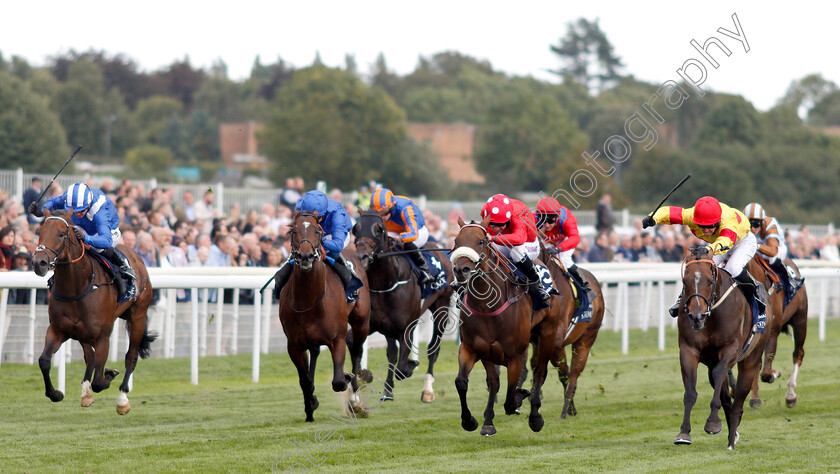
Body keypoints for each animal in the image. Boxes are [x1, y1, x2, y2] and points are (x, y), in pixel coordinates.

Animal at [31, 209, 156, 412]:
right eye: (40, 232)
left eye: (61, 234)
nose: (38, 262)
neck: (76, 287)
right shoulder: (58, 330)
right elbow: (44, 361)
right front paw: (56, 394)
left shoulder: (102, 336)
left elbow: (99, 380)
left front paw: (110, 374)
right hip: (81, 332)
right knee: (89, 357)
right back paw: (86, 393)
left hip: (138, 316)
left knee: (131, 357)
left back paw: (122, 399)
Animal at [278, 211, 370, 422]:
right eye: (293, 231)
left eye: (318, 231)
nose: (305, 256)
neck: (308, 300)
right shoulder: (293, 345)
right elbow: (304, 380)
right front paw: (310, 406)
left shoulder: (337, 339)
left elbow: (338, 381)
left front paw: (348, 378)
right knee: (314, 355)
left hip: (361, 322)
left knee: (356, 351)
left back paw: (355, 398)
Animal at [350, 209, 452, 402]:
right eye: (355, 228)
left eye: (379, 229)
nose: (361, 257)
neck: (386, 283)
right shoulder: (373, 324)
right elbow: (353, 343)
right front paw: (361, 378)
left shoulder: (406, 329)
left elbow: (403, 369)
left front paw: (412, 363)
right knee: (392, 352)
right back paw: (387, 391)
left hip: (442, 308)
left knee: (433, 348)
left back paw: (427, 390)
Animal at [450, 217, 560, 436]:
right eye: (456, 242)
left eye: (481, 241)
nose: (460, 270)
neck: (487, 305)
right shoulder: (472, 348)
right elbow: (462, 382)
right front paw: (470, 421)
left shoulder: (514, 355)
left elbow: (510, 398)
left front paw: (521, 397)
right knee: (494, 382)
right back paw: (488, 422)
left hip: (547, 335)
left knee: (540, 372)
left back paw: (535, 417)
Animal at [676, 246, 776, 450]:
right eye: (685, 281)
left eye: (710, 281)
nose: (696, 317)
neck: (712, 315)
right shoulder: (688, 350)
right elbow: (690, 393)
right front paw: (684, 433)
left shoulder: (731, 350)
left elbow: (721, 374)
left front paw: (713, 423)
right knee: (726, 397)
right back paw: (732, 432)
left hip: (751, 359)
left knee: (738, 403)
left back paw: (731, 440)